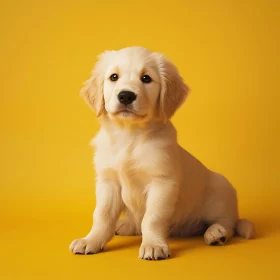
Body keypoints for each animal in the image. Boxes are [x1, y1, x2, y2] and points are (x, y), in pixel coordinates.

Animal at [69, 46, 255, 260]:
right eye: (113, 77)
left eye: (146, 78)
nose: (126, 96)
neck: (129, 136)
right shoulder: (108, 181)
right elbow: (102, 215)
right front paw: (91, 240)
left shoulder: (162, 182)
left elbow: (152, 218)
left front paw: (153, 245)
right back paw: (127, 225)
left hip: (220, 192)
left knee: (228, 223)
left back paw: (216, 233)